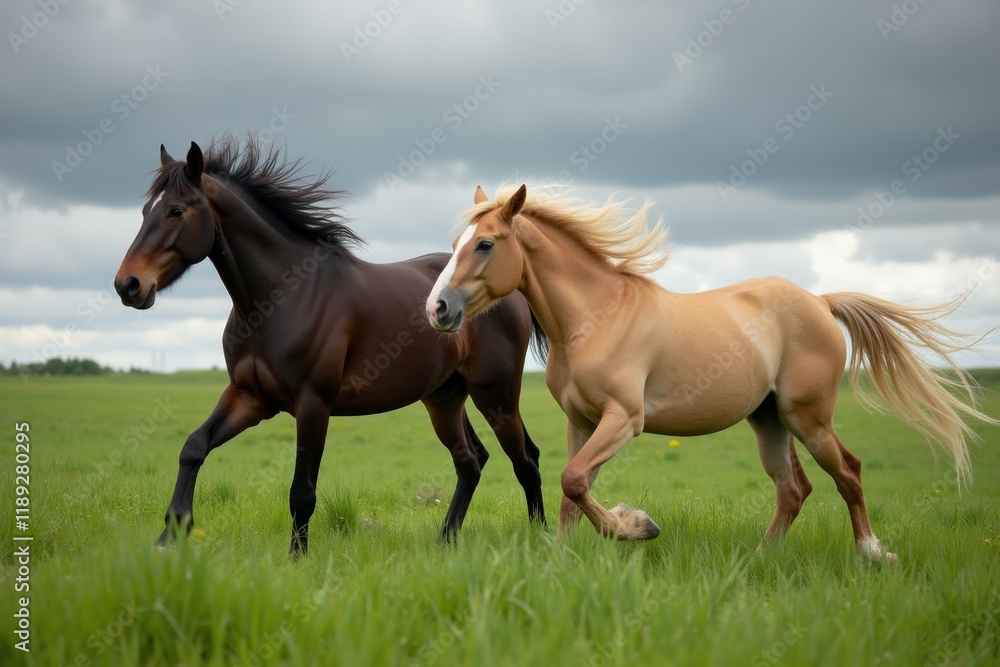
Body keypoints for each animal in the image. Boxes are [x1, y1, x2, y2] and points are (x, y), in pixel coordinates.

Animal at [114, 139, 546, 557]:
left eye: (175, 211)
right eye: (144, 211)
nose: (128, 285)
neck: (283, 298)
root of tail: (512, 289)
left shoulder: (313, 404)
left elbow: (301, 492)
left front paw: (297, 558)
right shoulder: (249, 397)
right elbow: (193, 447)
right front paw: (170, 535)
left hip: (495, 394)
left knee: (525, 460)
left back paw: (541, 538)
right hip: (444, 398)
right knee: (471, 461)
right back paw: (445, 541)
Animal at [425, 183, 996, 562]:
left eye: (485, 243)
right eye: (455, 243)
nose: (437, 308)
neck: (596, 317)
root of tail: (819, 302)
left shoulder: (623, 420)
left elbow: (572, 480)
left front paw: (638, 527)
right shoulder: (581, 423)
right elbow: (571, 490)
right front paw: (564, 558)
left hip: (807, 418)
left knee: (849, 474)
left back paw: (873, 553)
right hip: (768, 420)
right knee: (794, 489)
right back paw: (761, 559)